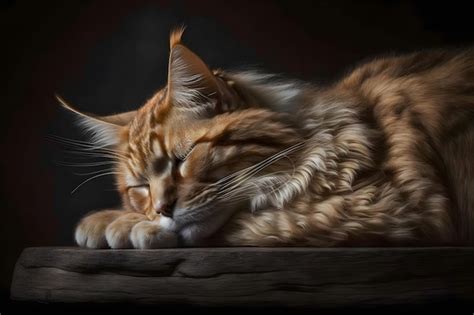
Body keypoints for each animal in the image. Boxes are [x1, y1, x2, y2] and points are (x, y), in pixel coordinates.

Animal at [61, 27, 474, 249]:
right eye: (141, 187)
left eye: (183, 159)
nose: (162, 210)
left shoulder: (381, 207)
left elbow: (247, 221)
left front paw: (118, 223)